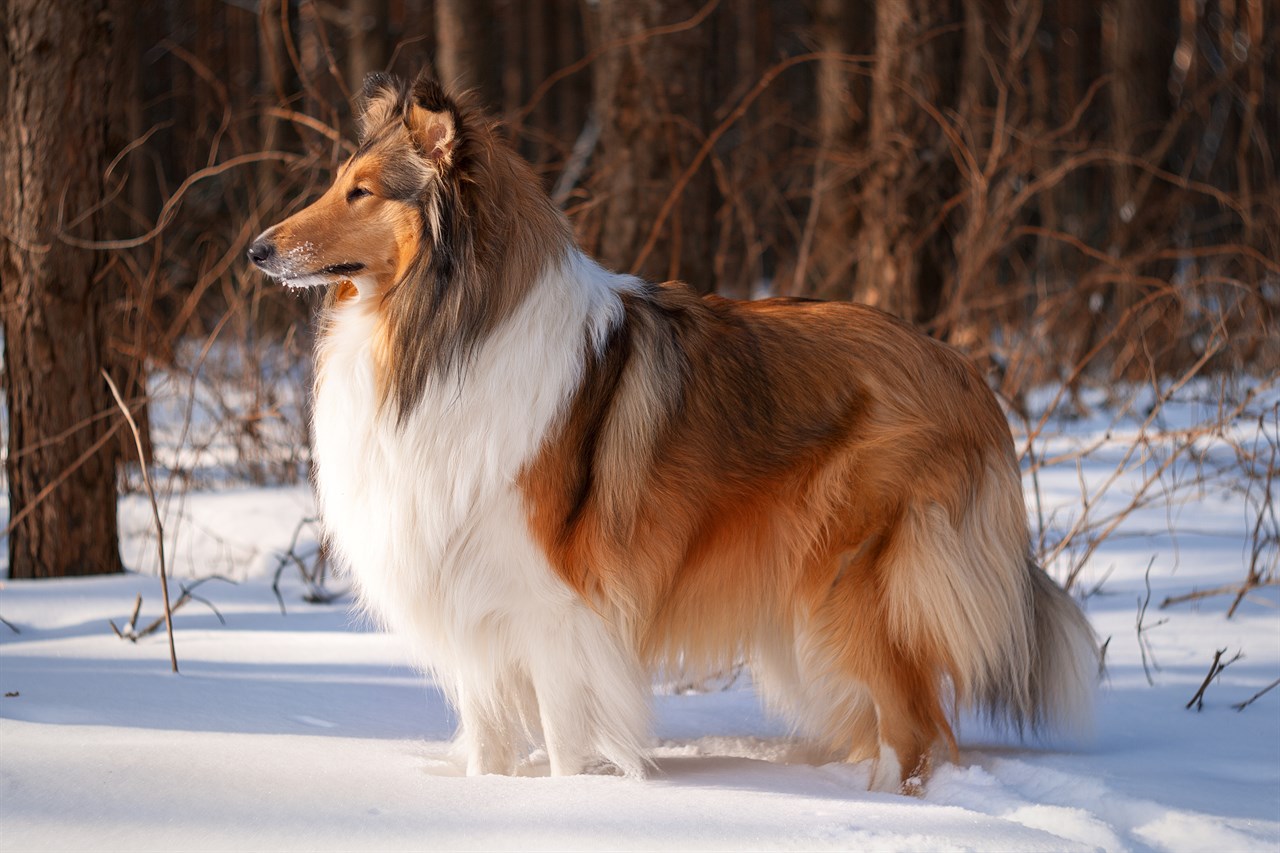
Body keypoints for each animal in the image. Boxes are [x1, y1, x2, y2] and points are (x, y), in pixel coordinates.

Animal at [252, 71, 1100, 788]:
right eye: (336, 183)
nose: (257, 249)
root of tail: (966, 372)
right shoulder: (475, 604)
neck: (447, 336)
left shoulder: (553, 608)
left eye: (360, 191)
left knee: (919, 730)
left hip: (855, 587)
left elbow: (564, 743)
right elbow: (490, 745)